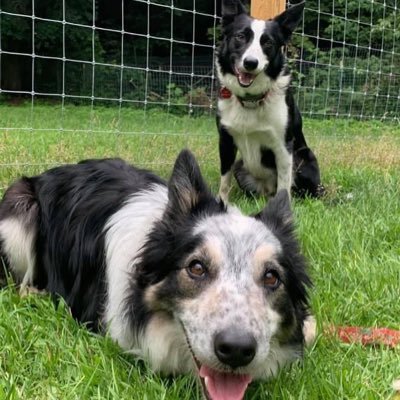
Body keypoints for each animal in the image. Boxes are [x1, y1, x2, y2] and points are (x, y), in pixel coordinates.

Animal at [216, 0, 324, 200]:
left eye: (268, 42)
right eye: (240, 36)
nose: (251, 63)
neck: (251, 99)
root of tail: (267, 191)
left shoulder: (283, 147)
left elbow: (284, 184)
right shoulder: (225, 141)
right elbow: (224, 181)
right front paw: (221, 203)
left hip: (304, 158)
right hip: (241, 166)